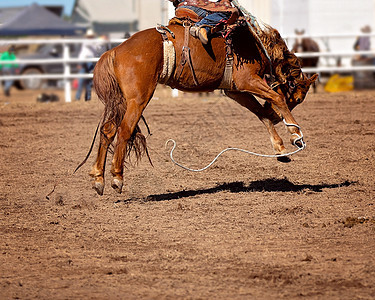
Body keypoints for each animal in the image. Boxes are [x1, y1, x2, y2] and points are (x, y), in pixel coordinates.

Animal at [90, 20, 318, 195]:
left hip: (122, 101)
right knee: (124, 130)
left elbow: (261, 114)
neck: (255, 45)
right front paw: (296, 135)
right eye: (298, 98)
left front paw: (280, 150)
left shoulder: (235, 90)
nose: (279, 118)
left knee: (108, 130)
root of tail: (115, 50)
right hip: (138, 100)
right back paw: (117, 178)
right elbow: (276, 99)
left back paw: (98, 179)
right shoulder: (247, 81)